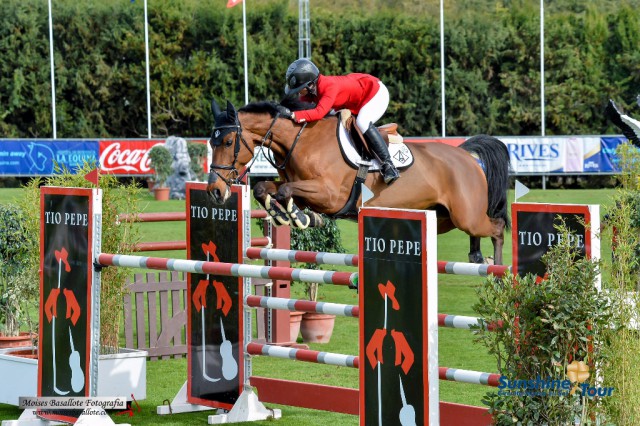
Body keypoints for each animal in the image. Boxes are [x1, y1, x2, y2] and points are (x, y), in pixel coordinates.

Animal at [205, 98, 510, 264]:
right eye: (211, 142)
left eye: (229, 142)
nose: (215, 191)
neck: (301, 140)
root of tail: (466, 155)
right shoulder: (301, 186)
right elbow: (265, 188)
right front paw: (289, 216)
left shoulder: (330, 196)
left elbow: (288, 191)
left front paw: (302, 218)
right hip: (443, 218)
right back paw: (476, 256)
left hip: (466, 215)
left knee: (496, 228)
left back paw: (496, 272)